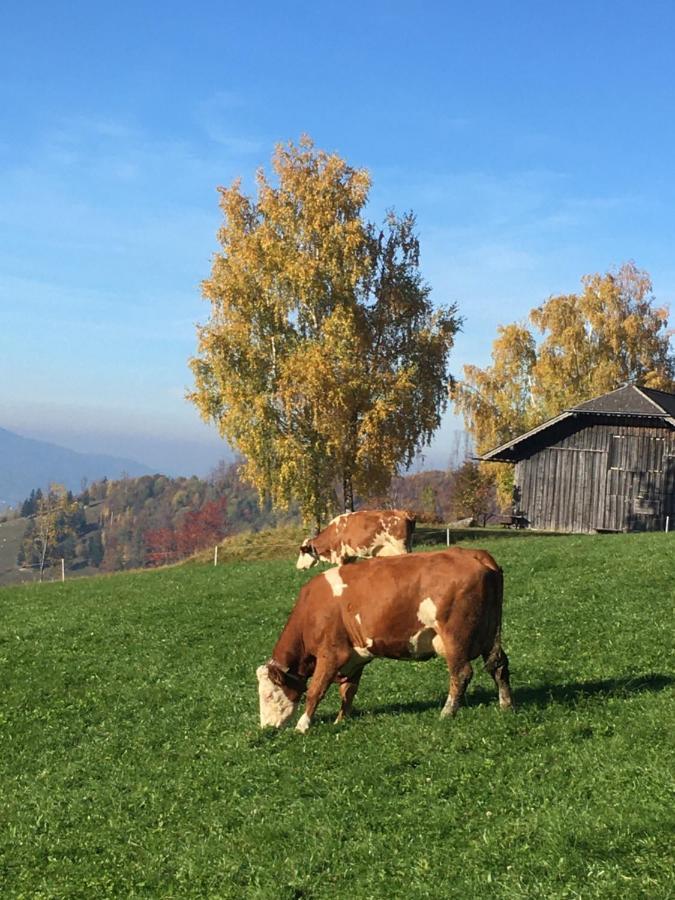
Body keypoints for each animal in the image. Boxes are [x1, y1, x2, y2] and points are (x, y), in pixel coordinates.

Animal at [256, 548, 516, 732]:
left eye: (269, 695)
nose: (266, 727)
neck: (311, 610)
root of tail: (475, 554)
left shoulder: (331, 653)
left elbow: (315, 690)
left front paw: (302, 726)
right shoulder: (355, 657)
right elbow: (348, 691)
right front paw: (341, 721)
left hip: (456, 638)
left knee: (461, 673)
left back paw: (447, 712)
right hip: (490, 634)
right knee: (498, 665)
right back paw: (506, 705)